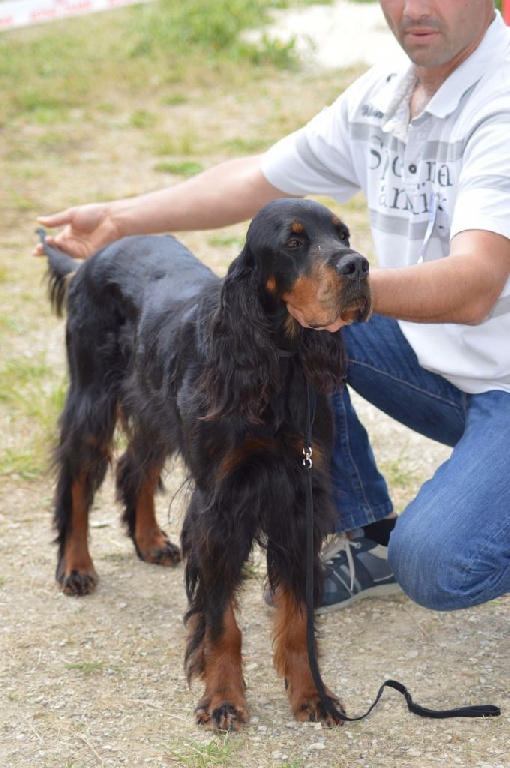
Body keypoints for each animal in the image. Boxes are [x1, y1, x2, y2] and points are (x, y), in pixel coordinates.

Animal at [39, 196, 368, 728]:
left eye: (344, 235)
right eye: (293, 241)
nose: (357, 266)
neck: (276, 363)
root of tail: (91, 259)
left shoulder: (299, 499)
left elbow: (298, 616)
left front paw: (313, 695)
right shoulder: (220, 506)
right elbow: (220, 620)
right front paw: (223, 700)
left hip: (151, 398)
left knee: (136, 464)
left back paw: (150, 542)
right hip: (92, 397)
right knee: (77, 480)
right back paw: (75, 567)